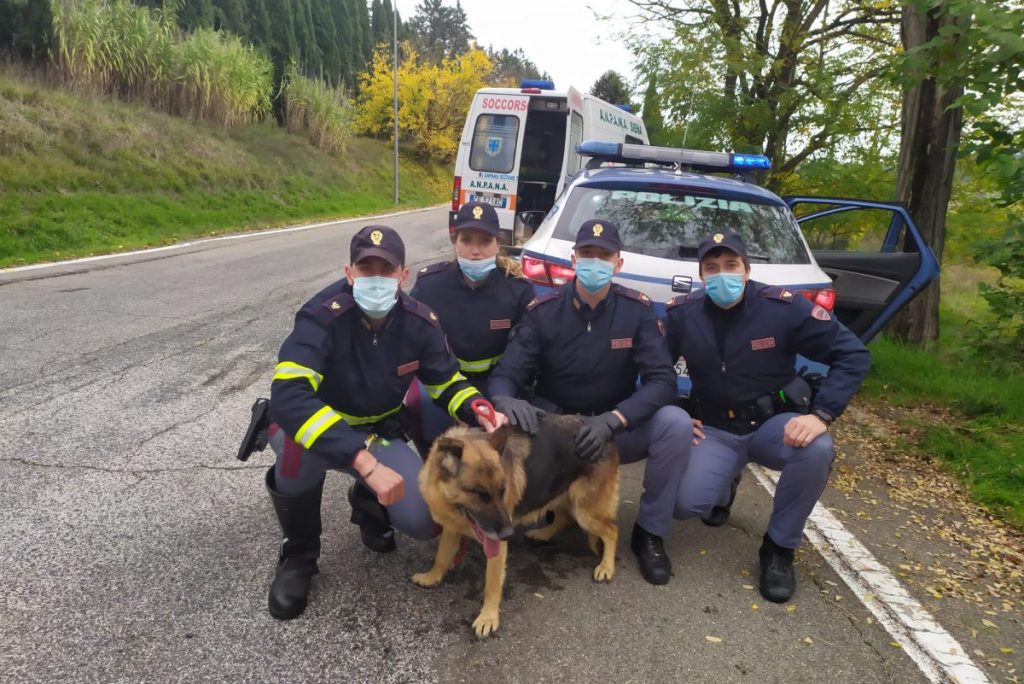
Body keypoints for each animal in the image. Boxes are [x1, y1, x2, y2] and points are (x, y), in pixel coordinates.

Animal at [411, 413, 618, 638]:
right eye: (479, 494)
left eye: (503, 490)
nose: (508, 534)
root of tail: (599, 430)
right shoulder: (452, 527)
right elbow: (442, 556)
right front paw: (432, 576)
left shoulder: (496, 547)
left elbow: (492, 583)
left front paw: (488, 617)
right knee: (564, 516)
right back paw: (543, 533)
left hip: (584, 511)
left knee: (611, 530)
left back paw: (606, 566)